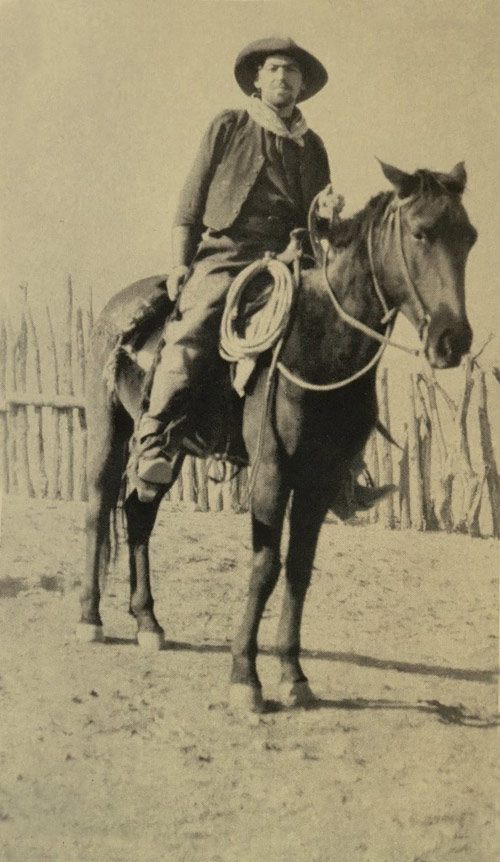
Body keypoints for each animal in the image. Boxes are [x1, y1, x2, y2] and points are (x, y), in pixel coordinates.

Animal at [76, 164, 474, 716]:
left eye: (469, 238)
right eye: (421, 233)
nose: (453, 340)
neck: (322, 342)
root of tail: (116, 310)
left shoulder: (320, 479)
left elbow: (300, 569)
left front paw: (293, 674)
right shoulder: (272, 470)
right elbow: (265, 566)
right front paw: (245, 676)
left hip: (170, 453)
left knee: (139, 513)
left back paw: (148, 622)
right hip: (107, 432)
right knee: (97, 511)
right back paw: (90, 618)